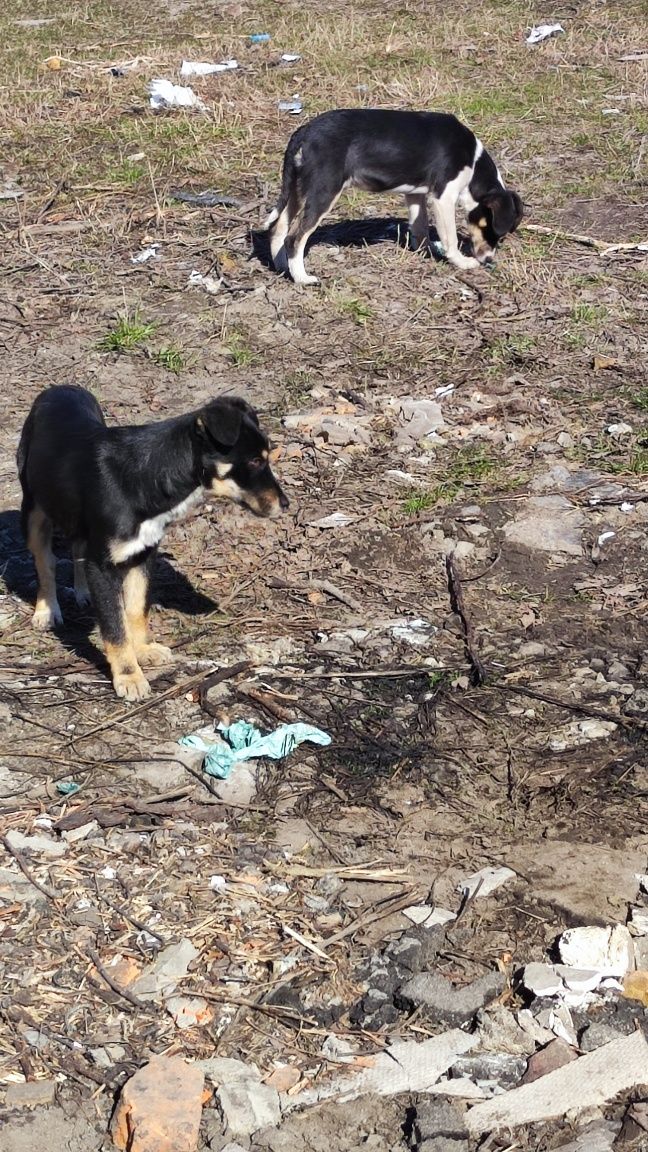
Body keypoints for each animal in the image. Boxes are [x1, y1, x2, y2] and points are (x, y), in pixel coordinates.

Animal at [18, 384, 287, 700]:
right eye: (256, 460)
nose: (285, 504)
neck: (150, 476)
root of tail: (59, 387)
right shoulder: (103, 566)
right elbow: (115, 627)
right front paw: (129, 675)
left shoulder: (142, 555)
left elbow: (136, 610)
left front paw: (143, 650)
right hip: (33, 511)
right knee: (44, 564)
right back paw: (47, 609)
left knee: (76, 549)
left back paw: (82, 593)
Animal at [265, 108, 521, 284]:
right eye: (492, 231)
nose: (488, 261)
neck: (473, 162)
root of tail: (304, 132)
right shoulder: (443, 197)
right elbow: (450, 239)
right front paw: (461, 262)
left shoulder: (416, 195)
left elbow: (419, 227)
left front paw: (425, 251)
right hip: (323, 191)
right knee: (294, 237)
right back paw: (302, 278)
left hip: (297, 190)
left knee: (279, 229)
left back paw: (282, 268)